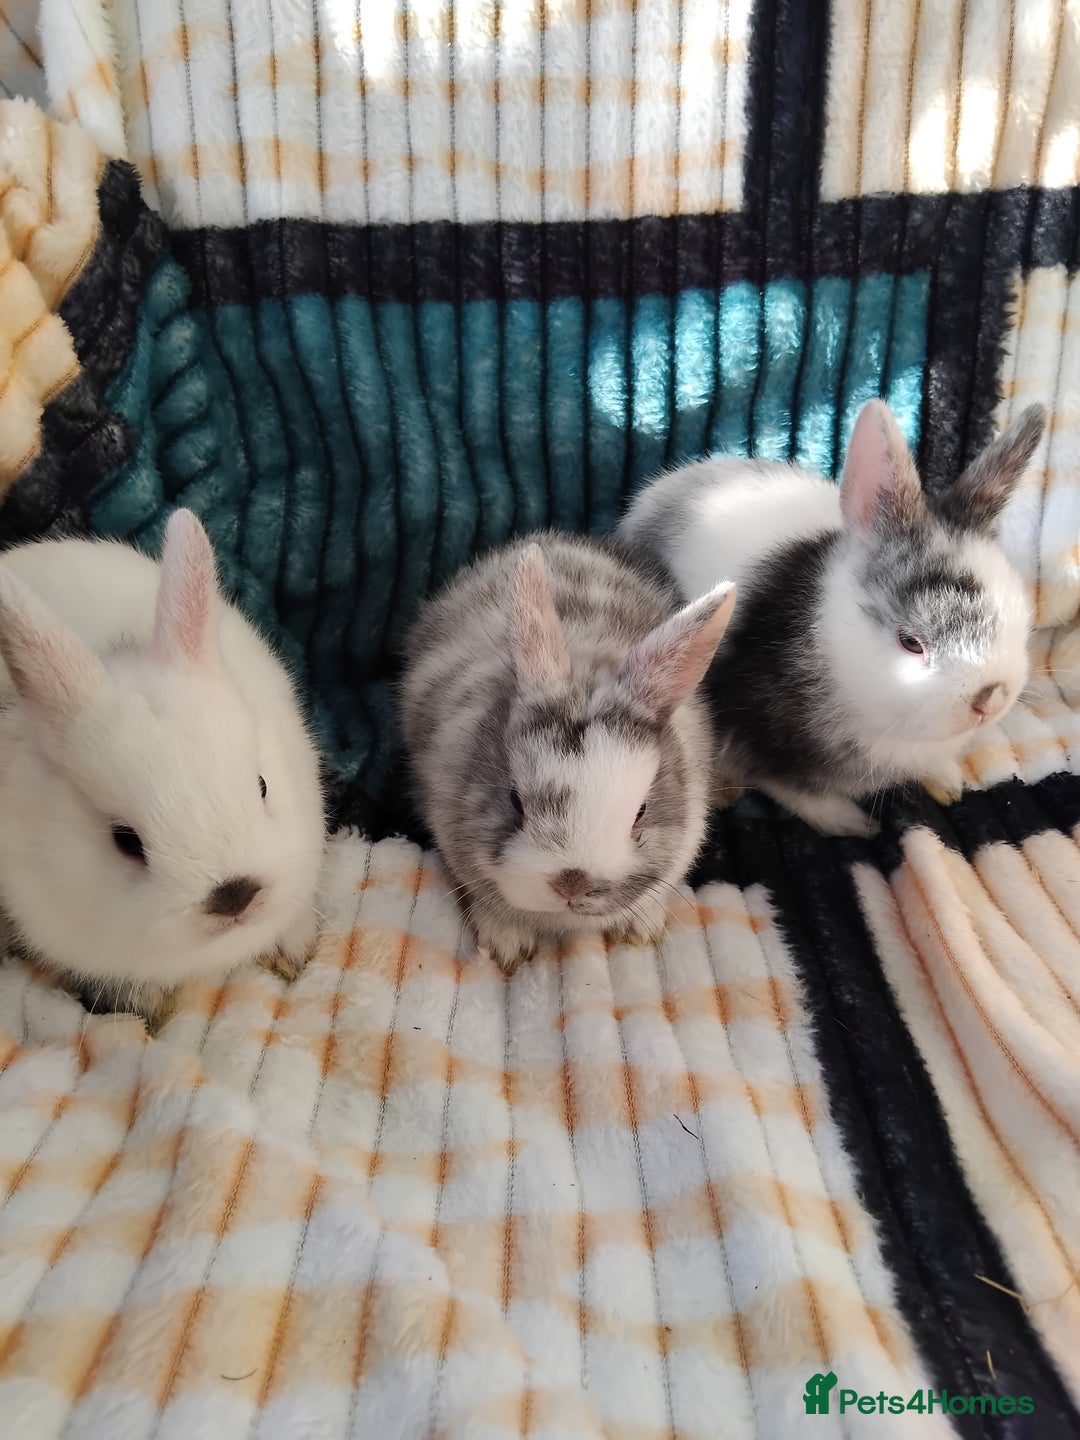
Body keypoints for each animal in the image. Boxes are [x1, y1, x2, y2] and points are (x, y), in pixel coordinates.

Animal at [617, 400, 1046, 837]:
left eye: (1019, 613)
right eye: (910, 642)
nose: (991, 699)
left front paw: (948, 782)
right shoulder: (757, 738)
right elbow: (794, 791)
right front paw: (854, 825)